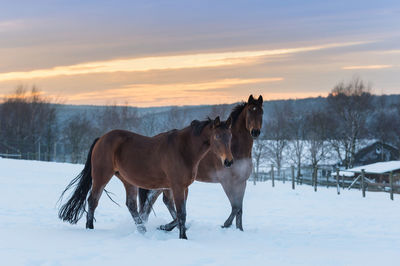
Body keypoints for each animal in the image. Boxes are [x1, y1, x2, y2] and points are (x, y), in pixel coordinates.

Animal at [57, 116, 233, 239]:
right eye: (217, 136)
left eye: (229, 136)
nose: (229, 161)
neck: (183, 150)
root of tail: (101, 138)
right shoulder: (177, 186)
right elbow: (181, 213)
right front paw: (183, 237)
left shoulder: (182, 187)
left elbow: (178, 213)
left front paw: (165, 227)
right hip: (101, 176)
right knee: (93, 201)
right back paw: (90, 229)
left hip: (128, 181)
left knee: (131, 205)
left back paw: (142, 230)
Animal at [139, 95, 264, 231]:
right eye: (250, 111)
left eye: (261, 112)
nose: (255, 132)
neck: (236, 149)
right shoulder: (227, 181)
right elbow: (235, 207)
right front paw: (226, 225)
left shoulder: (241, 181)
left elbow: (239, 208)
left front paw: (239, 230)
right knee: (160, 201)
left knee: (158, 201)